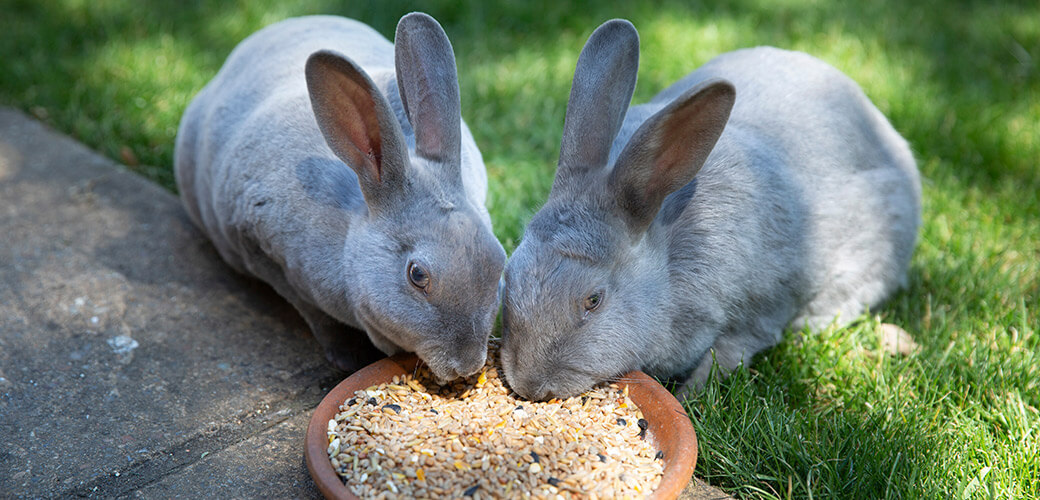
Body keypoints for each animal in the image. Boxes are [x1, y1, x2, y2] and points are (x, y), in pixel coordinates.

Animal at [174, 13, 507, 380]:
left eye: (500, 261)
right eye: (418, 275)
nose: (467, 365)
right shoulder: (260, 248)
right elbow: (318, 317)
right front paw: (349, 359)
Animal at [501, 19, 919, 399]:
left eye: (593, 300)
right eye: (510, 272)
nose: (530, 385)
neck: (668, 260)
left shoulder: (757, 314)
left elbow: (723, 358)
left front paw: (689, 400)